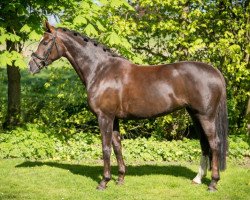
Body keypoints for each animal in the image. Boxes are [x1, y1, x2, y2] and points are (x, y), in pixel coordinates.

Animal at [28, 21, 228, 191]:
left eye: (45, 42)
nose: (31, 65)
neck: (101, 70)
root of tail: (215, 71)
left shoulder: (104, 117)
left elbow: (106, 147)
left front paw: (104, 181)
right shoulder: (114, 118)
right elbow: (117, 146)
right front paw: (120, 178)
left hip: (205, 116)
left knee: (214, 143)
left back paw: (213, 183)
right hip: (195, 114)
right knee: (204, 144)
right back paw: (198, 179)